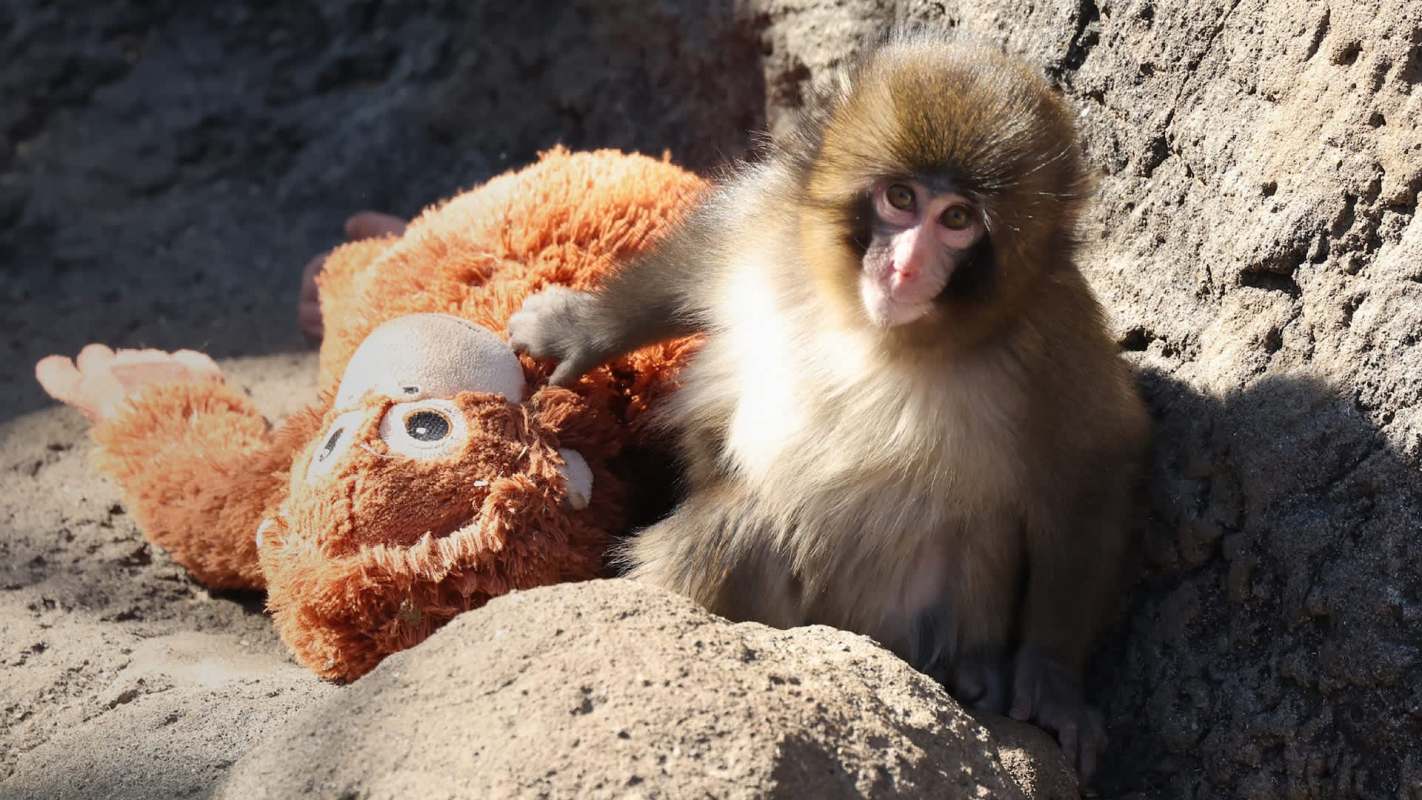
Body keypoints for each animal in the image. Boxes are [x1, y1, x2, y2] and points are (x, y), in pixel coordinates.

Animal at [508, 33, 1148, 780]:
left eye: (957, 220)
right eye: (900, 198)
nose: (904, 267)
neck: (875, 331)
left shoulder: (1053, 339)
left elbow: (1094, 463)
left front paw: (1052, 681)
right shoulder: (772, 222)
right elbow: (696, 260)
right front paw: (579, 330)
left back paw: (977, 673)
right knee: (738, 528)